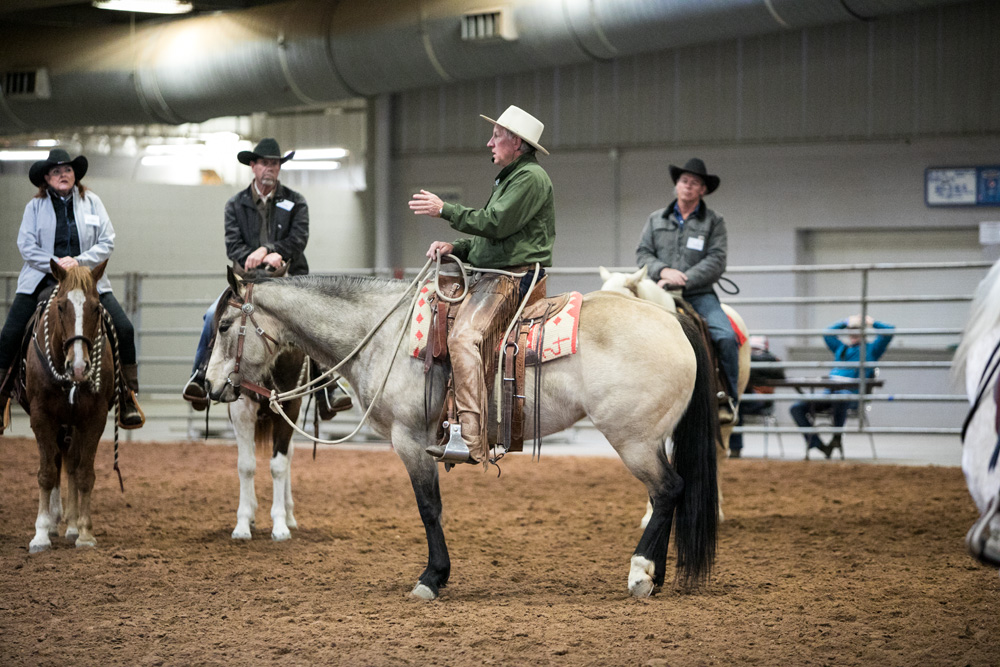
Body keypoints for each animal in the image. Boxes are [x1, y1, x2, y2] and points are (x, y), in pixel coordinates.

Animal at [21, 260, 115, 552]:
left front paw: (84, 532)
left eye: (96, 307)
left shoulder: (94, 418)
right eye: (61, 306)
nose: (79, 366)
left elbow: (84, 473)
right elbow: (46, 473)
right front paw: (40, 534)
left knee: (71, 462)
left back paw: (71, 526)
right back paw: (53, 524)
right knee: (55, 461)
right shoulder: (41, 417)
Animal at [203, 268, 720, 604]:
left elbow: (429, 508)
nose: (209, 386)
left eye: (225, 325)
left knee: (667, 490)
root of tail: (672, 320)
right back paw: (656, 575)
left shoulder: (411, 441)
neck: (385, 334)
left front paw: (432, 578)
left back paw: (641, 574)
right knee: (668, 495)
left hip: (634, 440)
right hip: (649, 440)